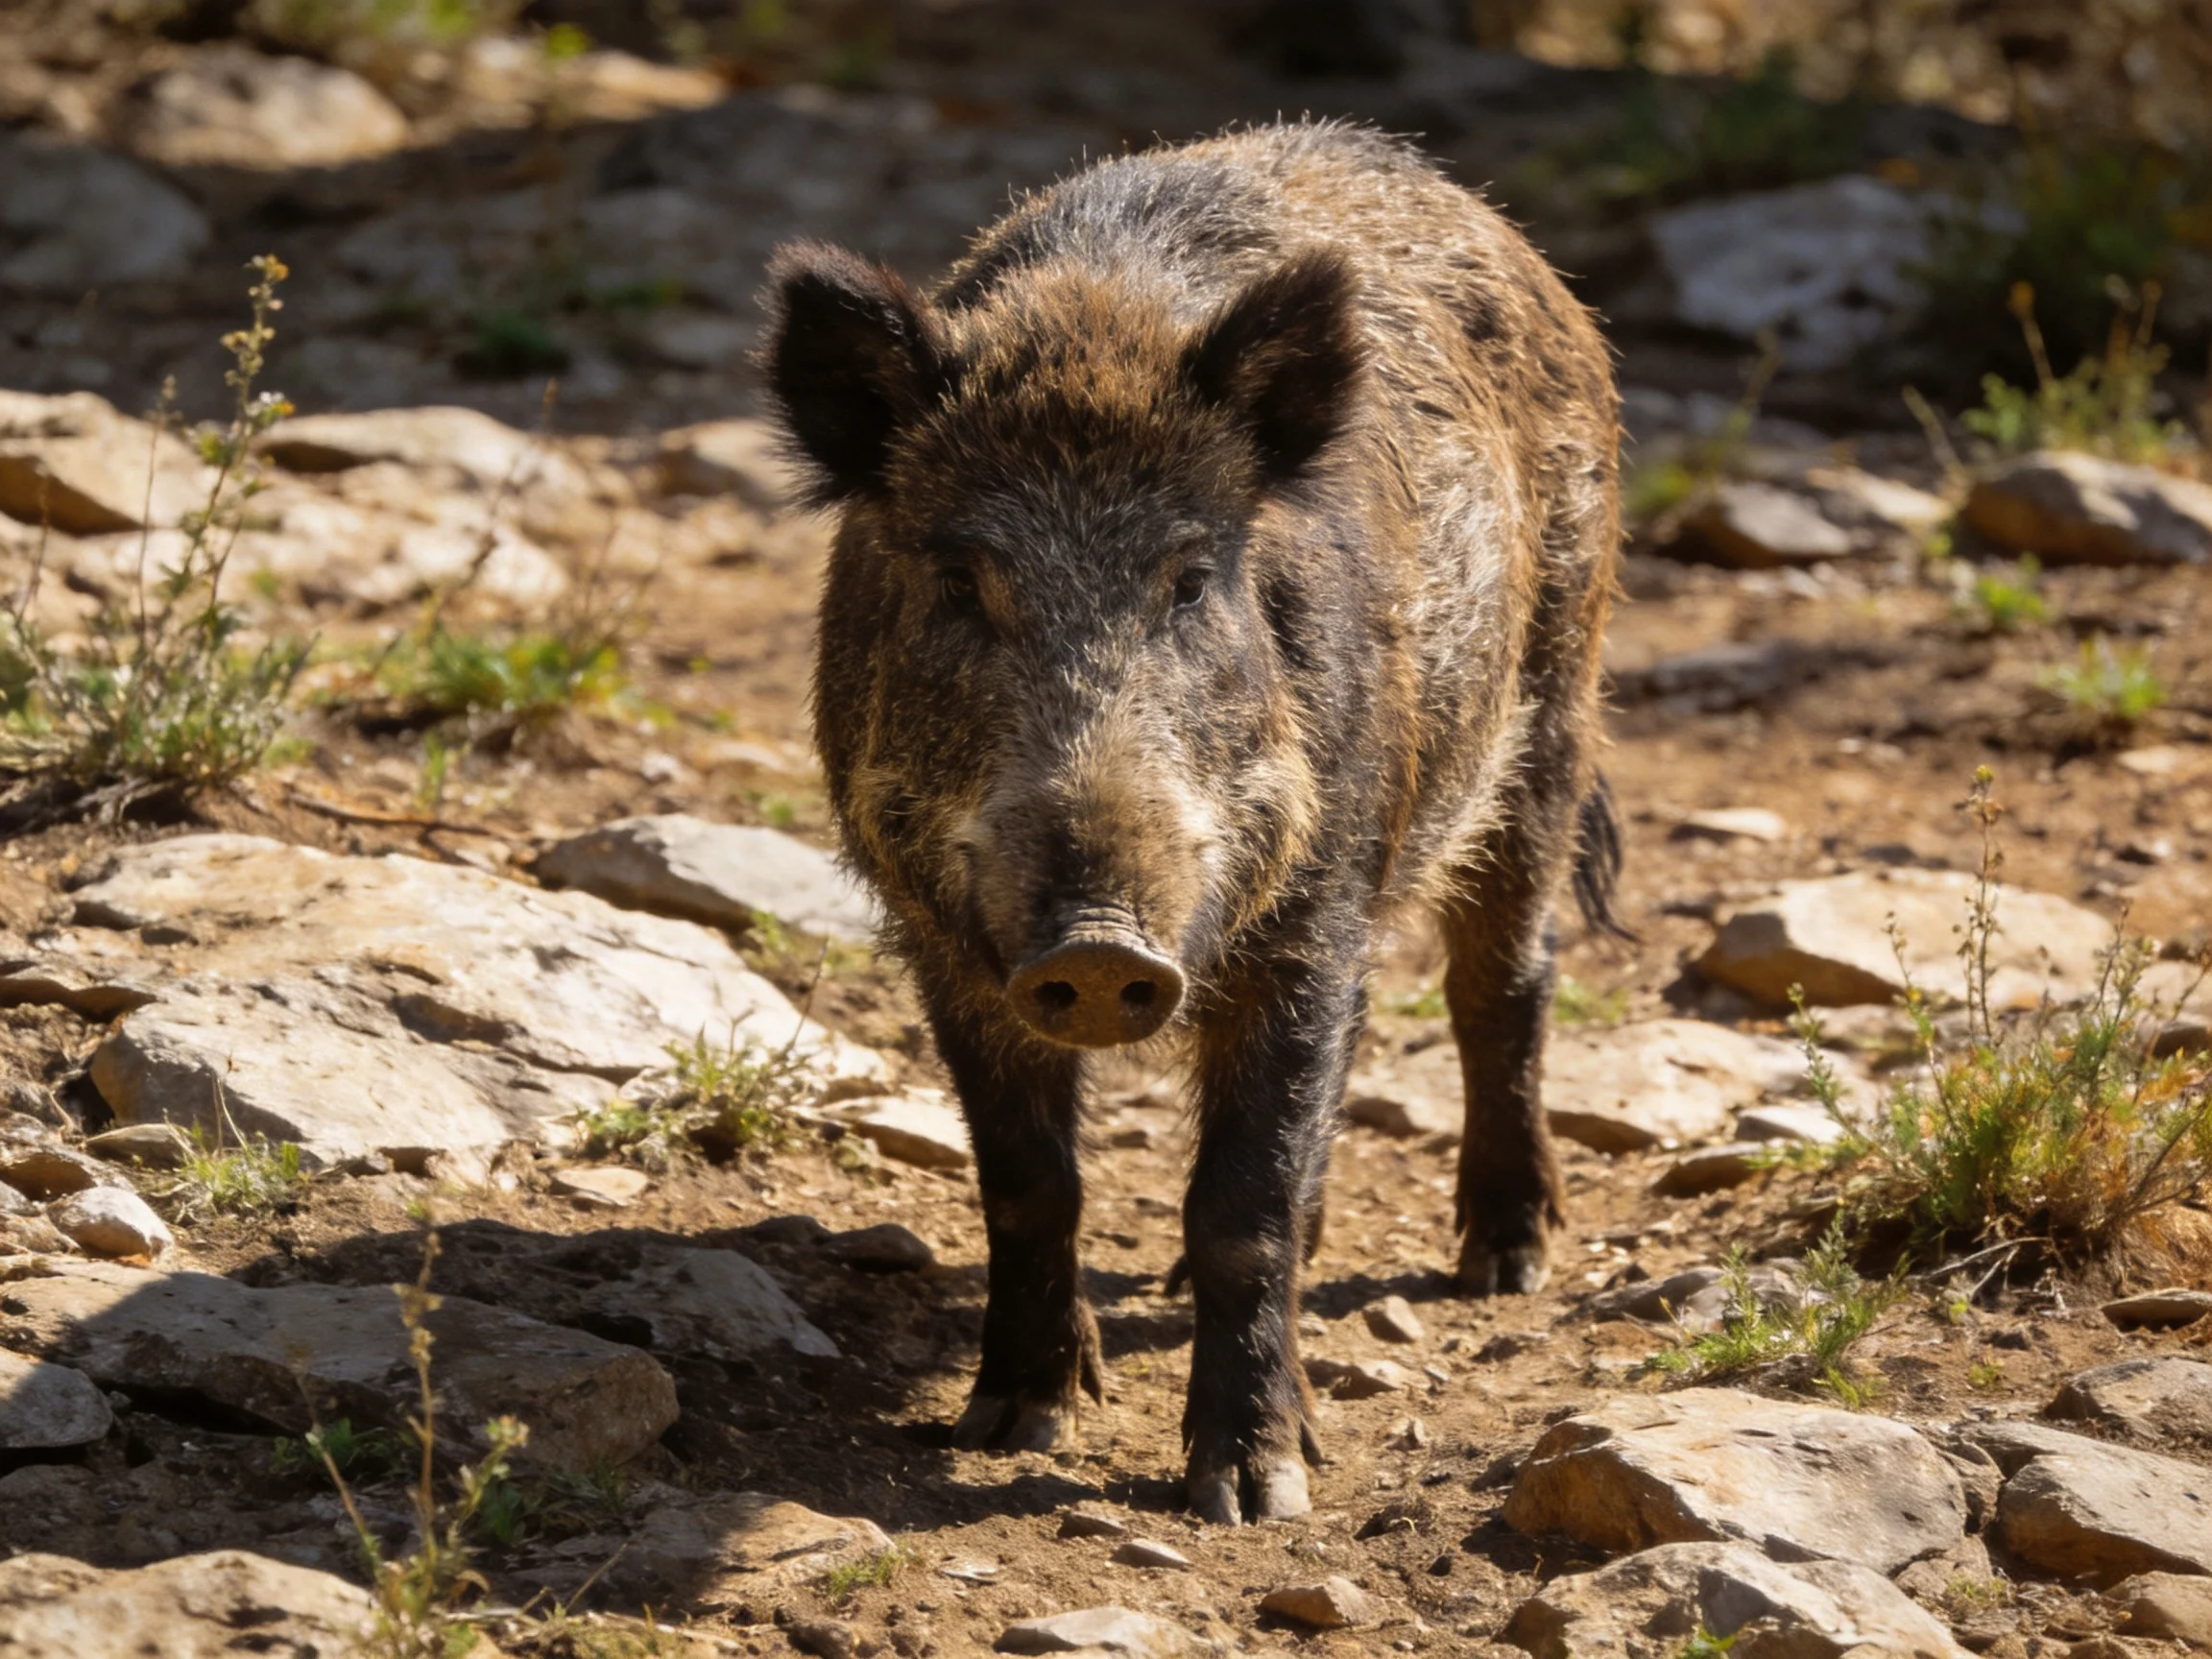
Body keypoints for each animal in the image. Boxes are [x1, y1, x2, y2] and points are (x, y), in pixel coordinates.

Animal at [762, 121, 1622, 1524]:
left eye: (1191, 579)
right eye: (960, 580)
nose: (1100, 947)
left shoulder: (1317, 910)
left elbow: (1243, 1202)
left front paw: (1255, 1491)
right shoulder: (943, 942)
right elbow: (1027, 1180)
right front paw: (1011, 1424)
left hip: (1554, 696)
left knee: (1507, 975)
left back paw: (1506, 1263)